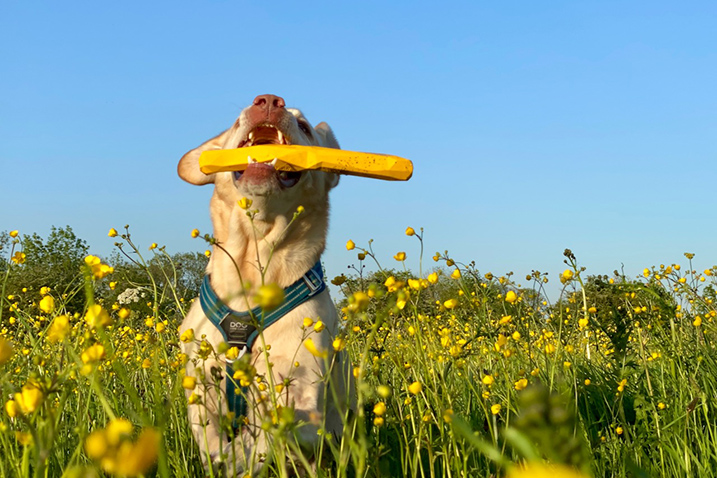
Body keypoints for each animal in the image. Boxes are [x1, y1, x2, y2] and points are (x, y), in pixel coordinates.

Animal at [176, 94, 350, 474]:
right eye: (235, 121)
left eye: (304, 127)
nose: (269, 101)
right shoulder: (200, 380)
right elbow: (209, 434)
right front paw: (222, 456)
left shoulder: (302, 391)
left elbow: (266, 436)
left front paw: (239, 456)